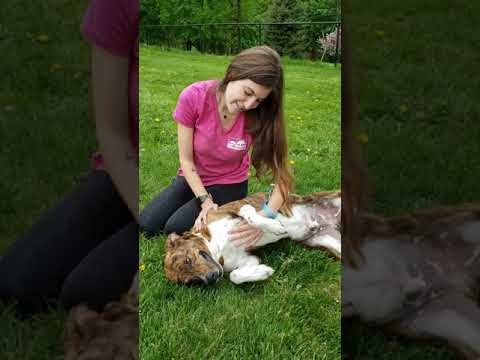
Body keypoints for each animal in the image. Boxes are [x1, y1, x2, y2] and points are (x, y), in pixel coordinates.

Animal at [164, 190, 342, 286]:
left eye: (188, 260)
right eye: (192, 282)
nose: (211, 278)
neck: (216, 246)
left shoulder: (240, 207)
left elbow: (251, 217)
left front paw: (275, 226)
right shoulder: (247, 260)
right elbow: (235, 276)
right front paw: (263, 272)